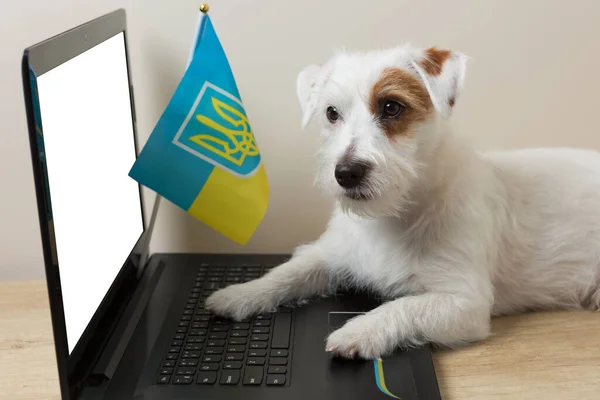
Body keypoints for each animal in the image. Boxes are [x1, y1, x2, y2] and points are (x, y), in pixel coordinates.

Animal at [205, 44, 600, 360]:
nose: (346, 172)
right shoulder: (331, 255)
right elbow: (287, 273)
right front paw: (239, 293)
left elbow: (404, 306)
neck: (392, 215)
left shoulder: (463, 302)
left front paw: (358, 330)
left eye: (392, 107)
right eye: (332, 113)